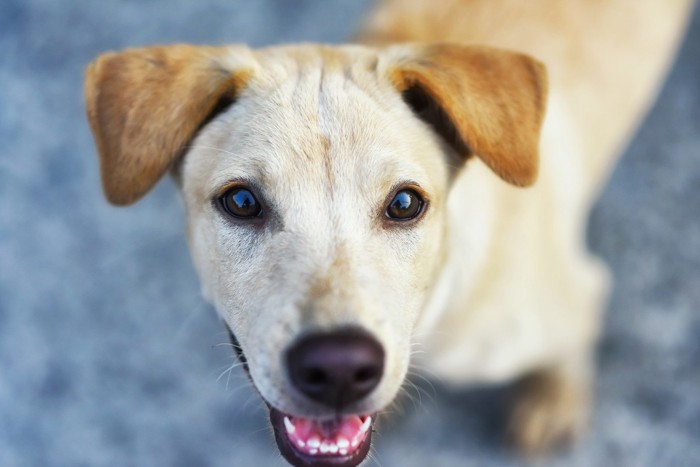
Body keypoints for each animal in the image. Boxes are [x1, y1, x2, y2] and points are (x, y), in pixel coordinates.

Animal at [85, 1, 692, 466]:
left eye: (404, 204)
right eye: (241, 201)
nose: (337, 369)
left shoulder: (580, 295)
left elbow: (569, 355)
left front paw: (554, 401)